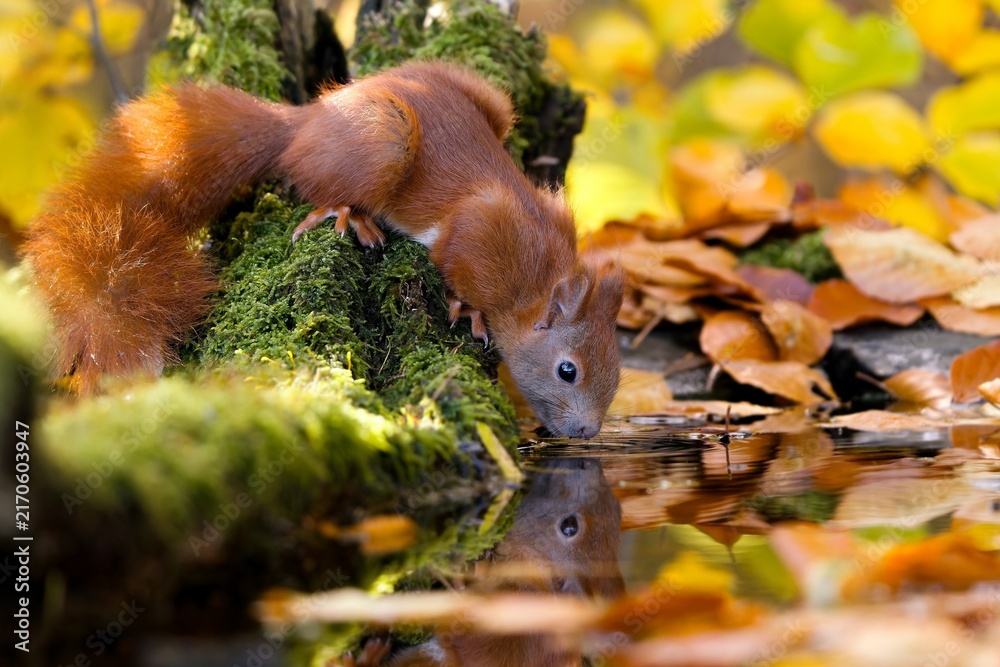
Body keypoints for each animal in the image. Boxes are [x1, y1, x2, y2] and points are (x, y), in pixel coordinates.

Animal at [21, 61, 624, 438]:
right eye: (567, 371)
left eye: (617, 370)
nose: (588, 432)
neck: (537, 271)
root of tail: (307, 121)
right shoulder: (478, 232)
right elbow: (456, 266)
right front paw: (469, 310)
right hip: (384, 140)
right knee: (317, 183)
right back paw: (347, 214)